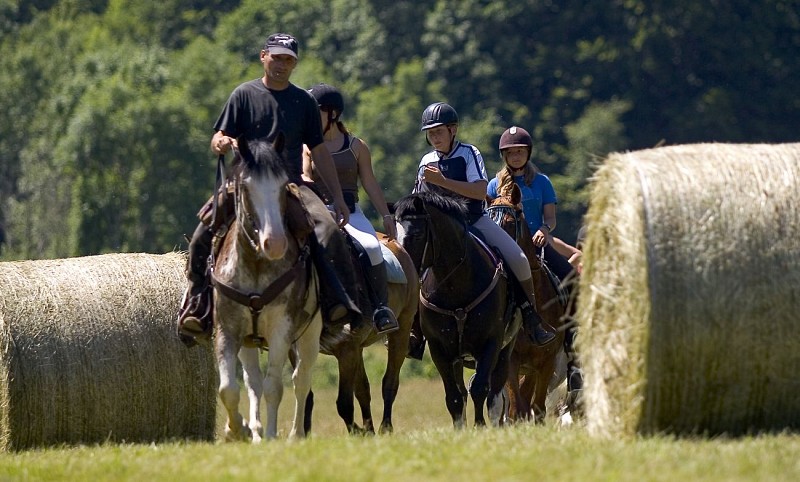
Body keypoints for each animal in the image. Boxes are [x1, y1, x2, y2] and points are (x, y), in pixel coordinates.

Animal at [392, 190, 516, 428]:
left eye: (417, 234)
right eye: (396, 234)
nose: (405, 269)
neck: (455, 284)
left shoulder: (491, 342)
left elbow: (480, 389)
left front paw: (480, 427)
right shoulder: (440, 349)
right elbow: (455, 398)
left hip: (505, 350)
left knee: (495, 396)